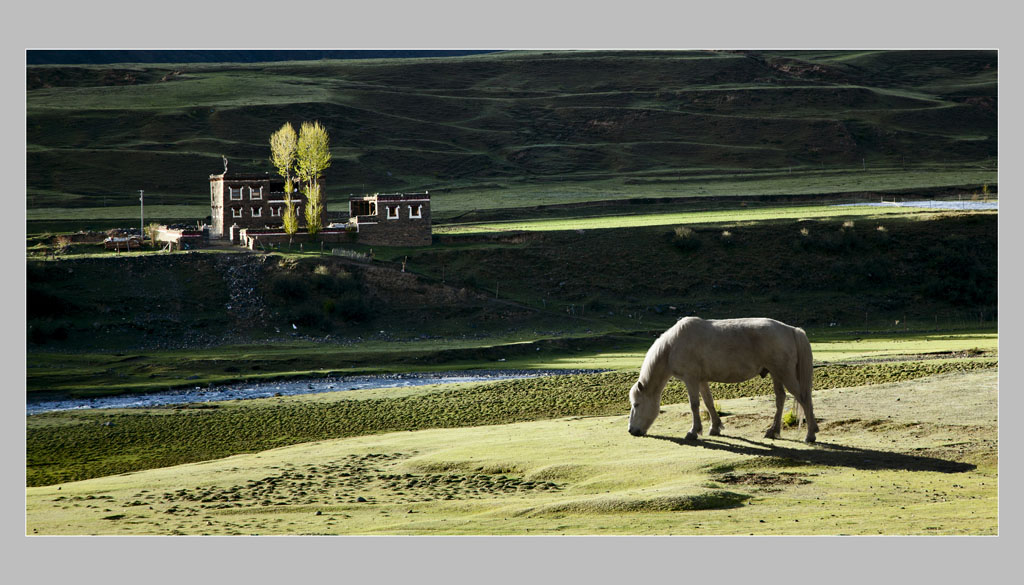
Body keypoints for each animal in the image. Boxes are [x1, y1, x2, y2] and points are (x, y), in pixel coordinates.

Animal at [626, 317, 819, 442]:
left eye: (636, 404)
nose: (632, 431)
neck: (672, 347)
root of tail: (791, 330)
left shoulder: (691, 379)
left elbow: (694, 405)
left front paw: (693, 432)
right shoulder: (701, 380)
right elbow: (708, 402)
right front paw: (715, 428)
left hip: (784, 373)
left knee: (803, 398)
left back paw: (810, 435)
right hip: (776, 374)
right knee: (781, 399)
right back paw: (773, 431)